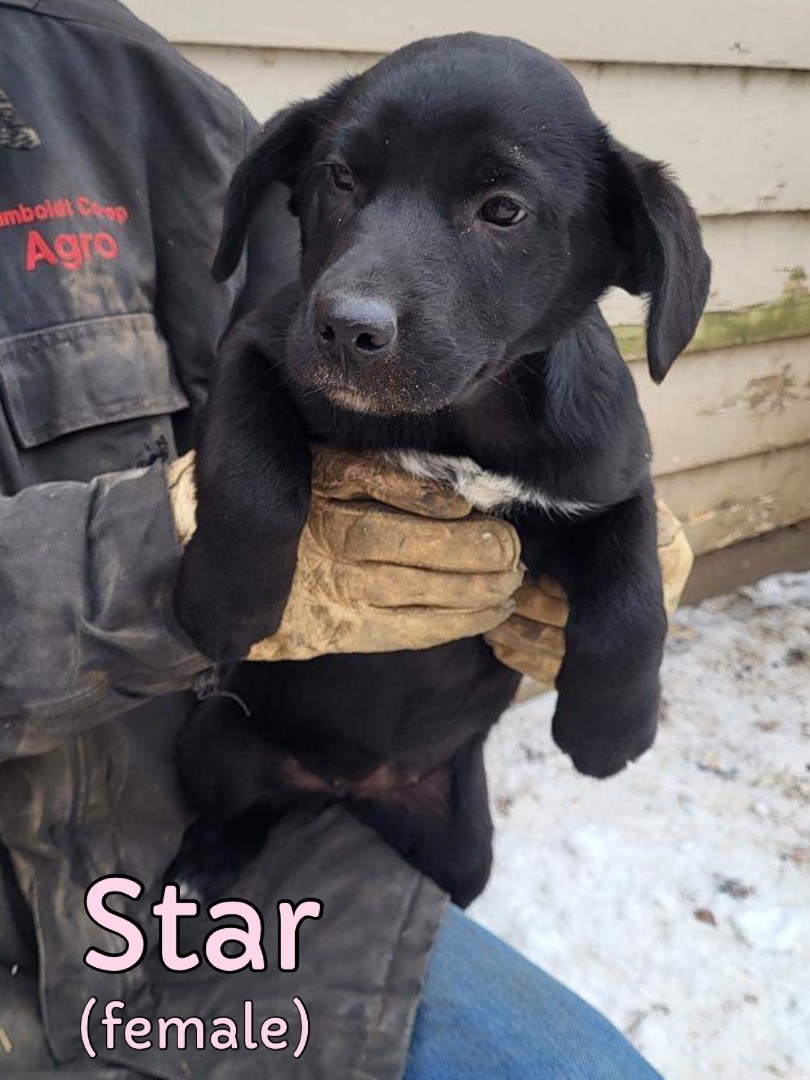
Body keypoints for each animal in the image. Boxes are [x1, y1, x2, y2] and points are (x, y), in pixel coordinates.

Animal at [171, 33, 708, 907]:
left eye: (503, 210)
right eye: (339, 177)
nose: (348, 329)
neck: (465, 419)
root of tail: (348, 785)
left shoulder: (614, 481)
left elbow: (635, 597)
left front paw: (611, 726)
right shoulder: (259, 345)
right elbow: (252, 478)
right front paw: (227, 607)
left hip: (464, 843)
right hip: (216, 743)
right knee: (252, 804)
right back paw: (210, 859)